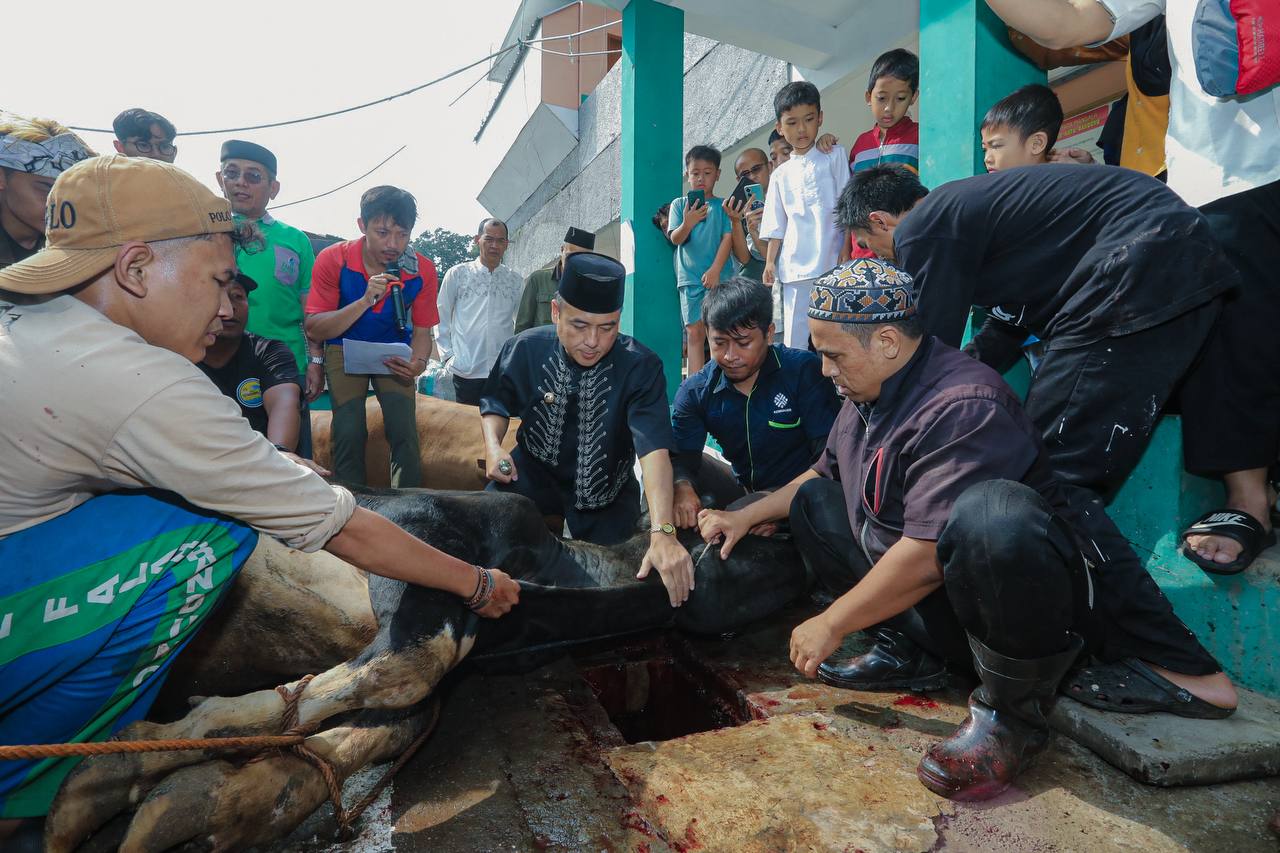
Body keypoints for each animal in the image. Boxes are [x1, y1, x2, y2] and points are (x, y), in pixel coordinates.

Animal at [45, 484, 808, 852]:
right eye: (755, 532)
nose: (797, 540)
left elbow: (386, 717)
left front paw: (215, 796)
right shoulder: (419, 526)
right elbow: (403, 665)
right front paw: (130, 763)